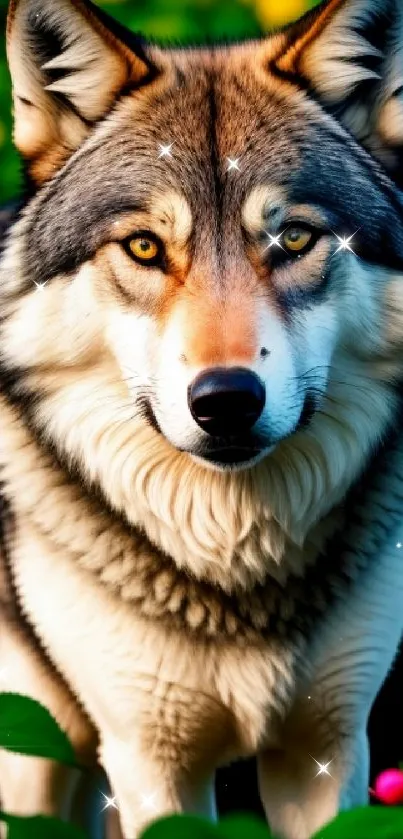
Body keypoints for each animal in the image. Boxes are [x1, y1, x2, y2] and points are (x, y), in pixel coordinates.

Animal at [0, 0, 403, 836]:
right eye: (145, 246)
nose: (225, 400)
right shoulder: (151, 760)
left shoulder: (327, 746)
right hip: (36, 760)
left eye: (292, 237)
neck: (235, 568)